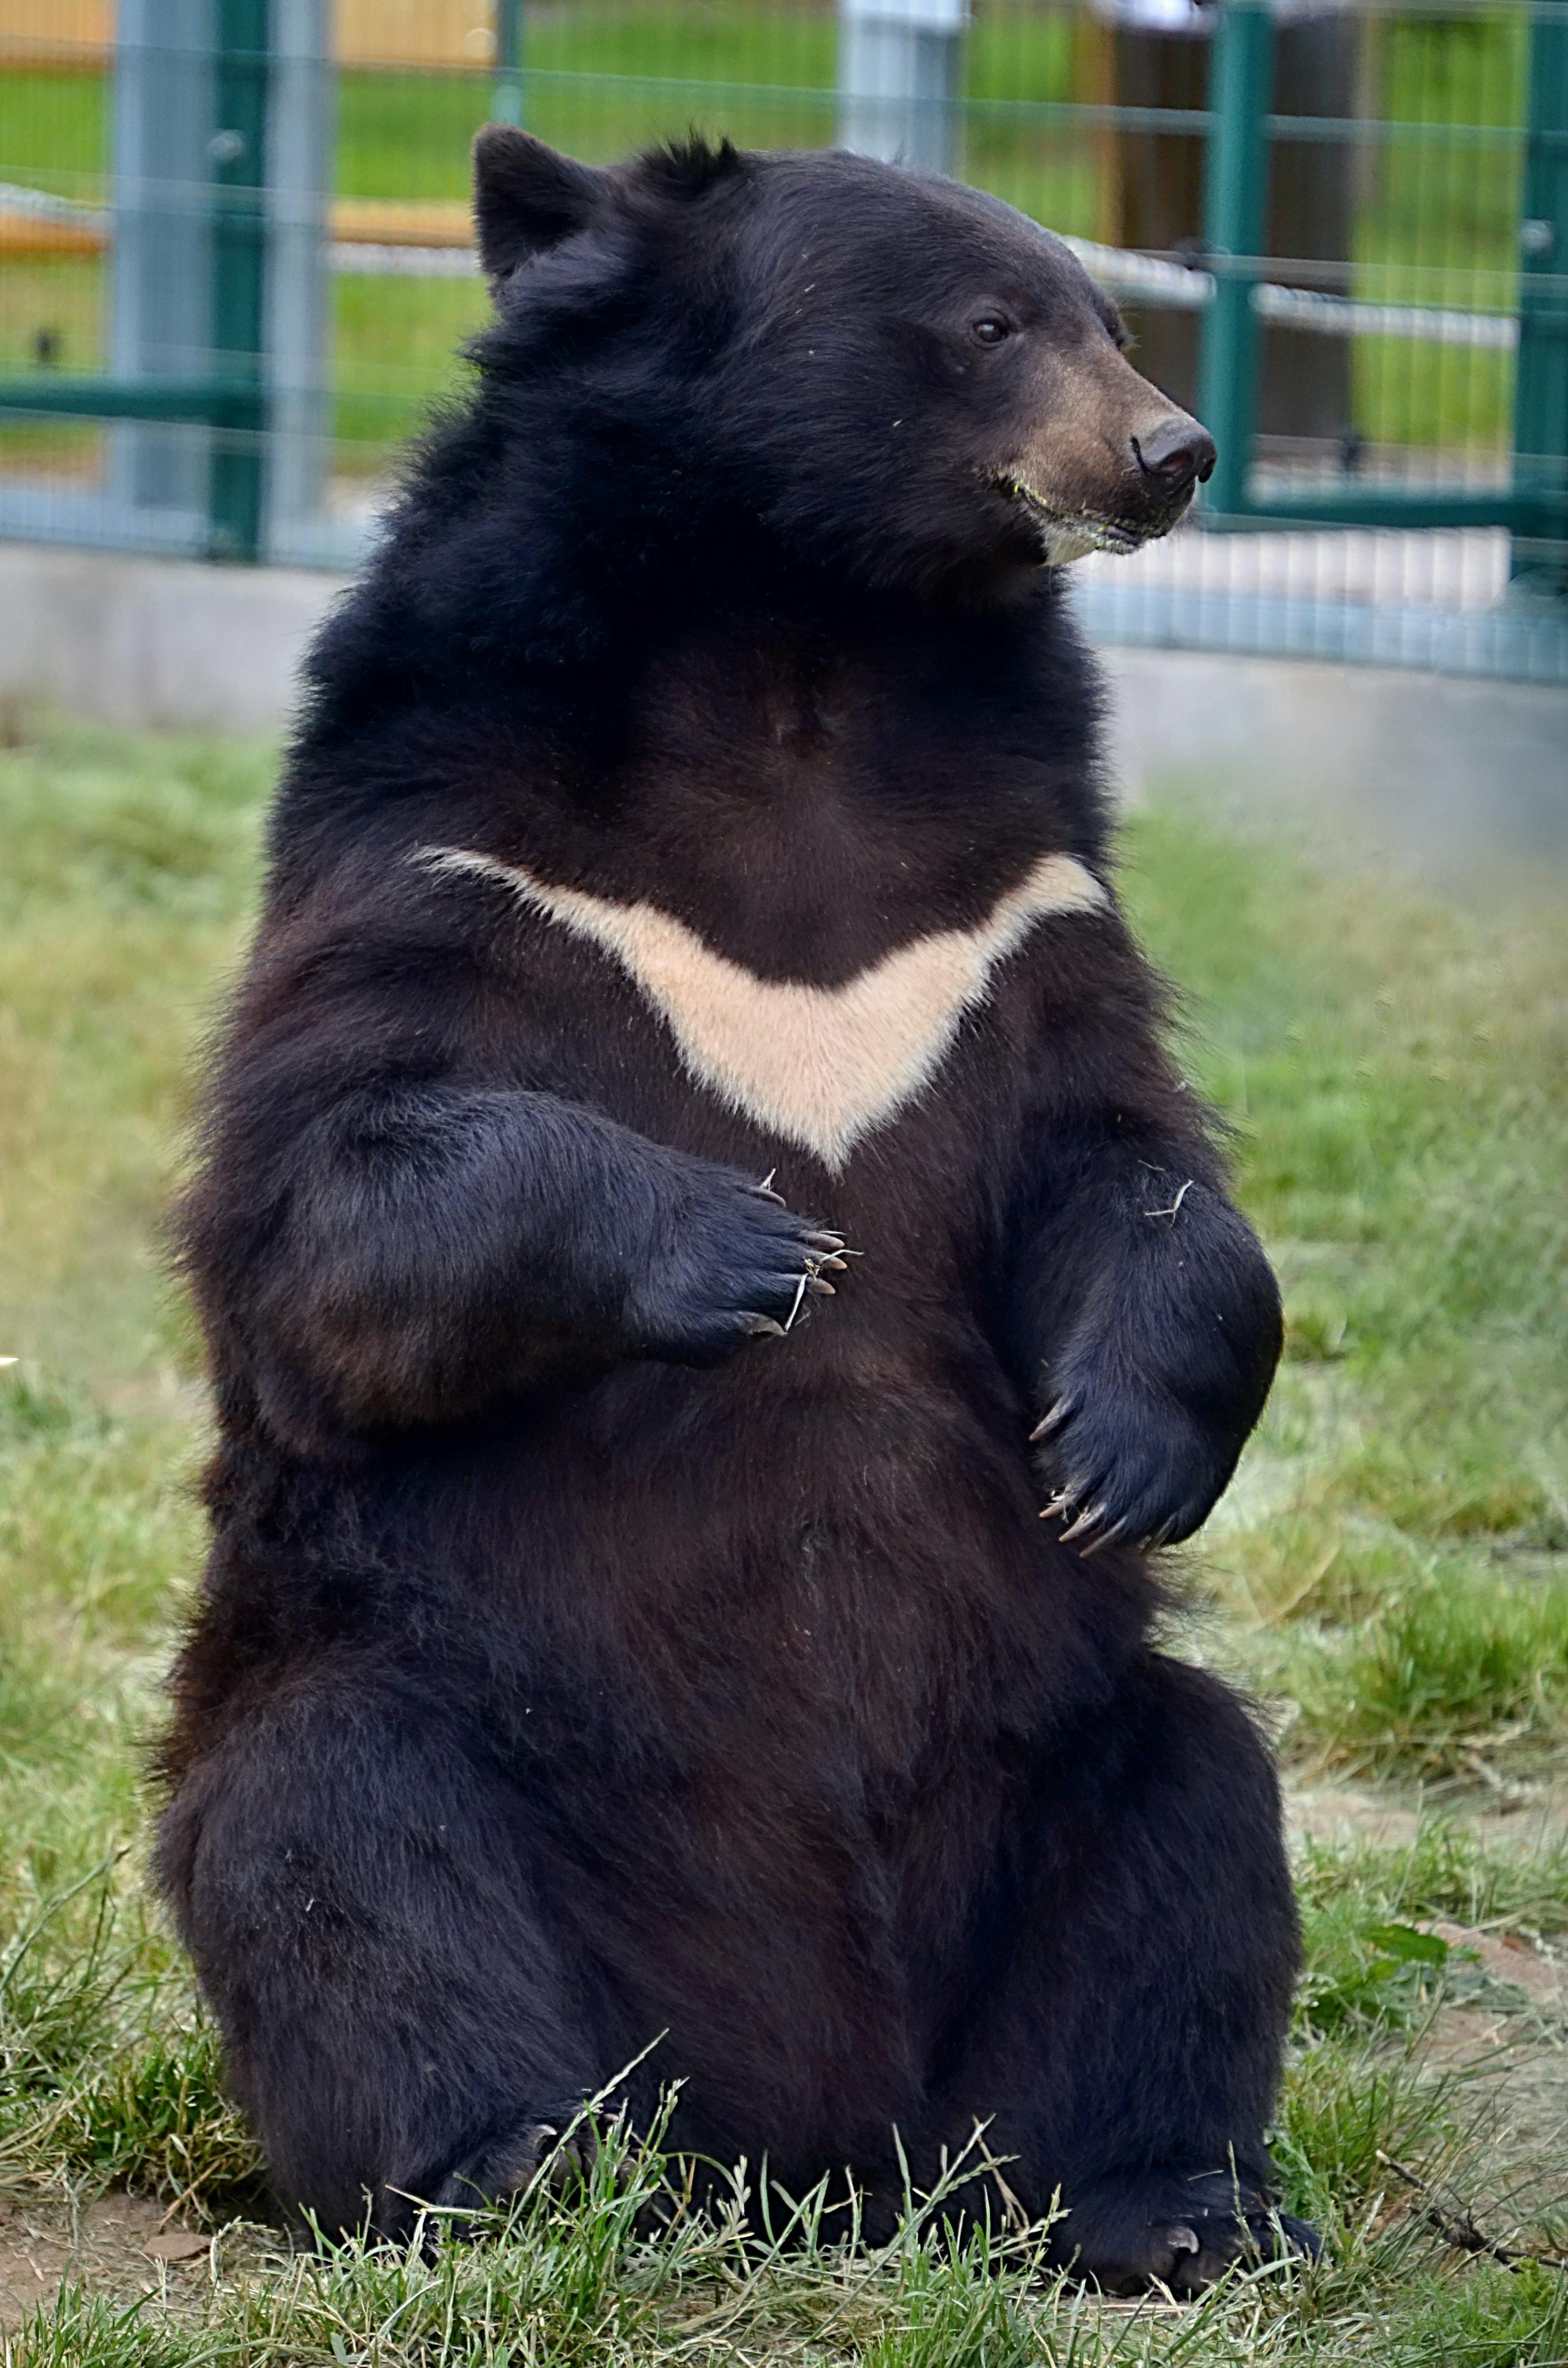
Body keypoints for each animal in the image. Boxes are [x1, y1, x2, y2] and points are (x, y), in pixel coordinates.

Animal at [160, 130, 1317, 2292]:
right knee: (341, 1842)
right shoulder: (454, 842)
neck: (807, 651)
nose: (1174, 451)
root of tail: (816, 2149)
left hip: (1058, 1767)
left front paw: (1115, 1449)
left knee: (1191, 1833)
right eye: (990, 323)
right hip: (423, 1705)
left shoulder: (1009, 905)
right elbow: (338, 1191)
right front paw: (759, 1246)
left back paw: (1164, 2203)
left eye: (1110, 314)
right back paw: (520, 2166)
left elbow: (1124, 1161)